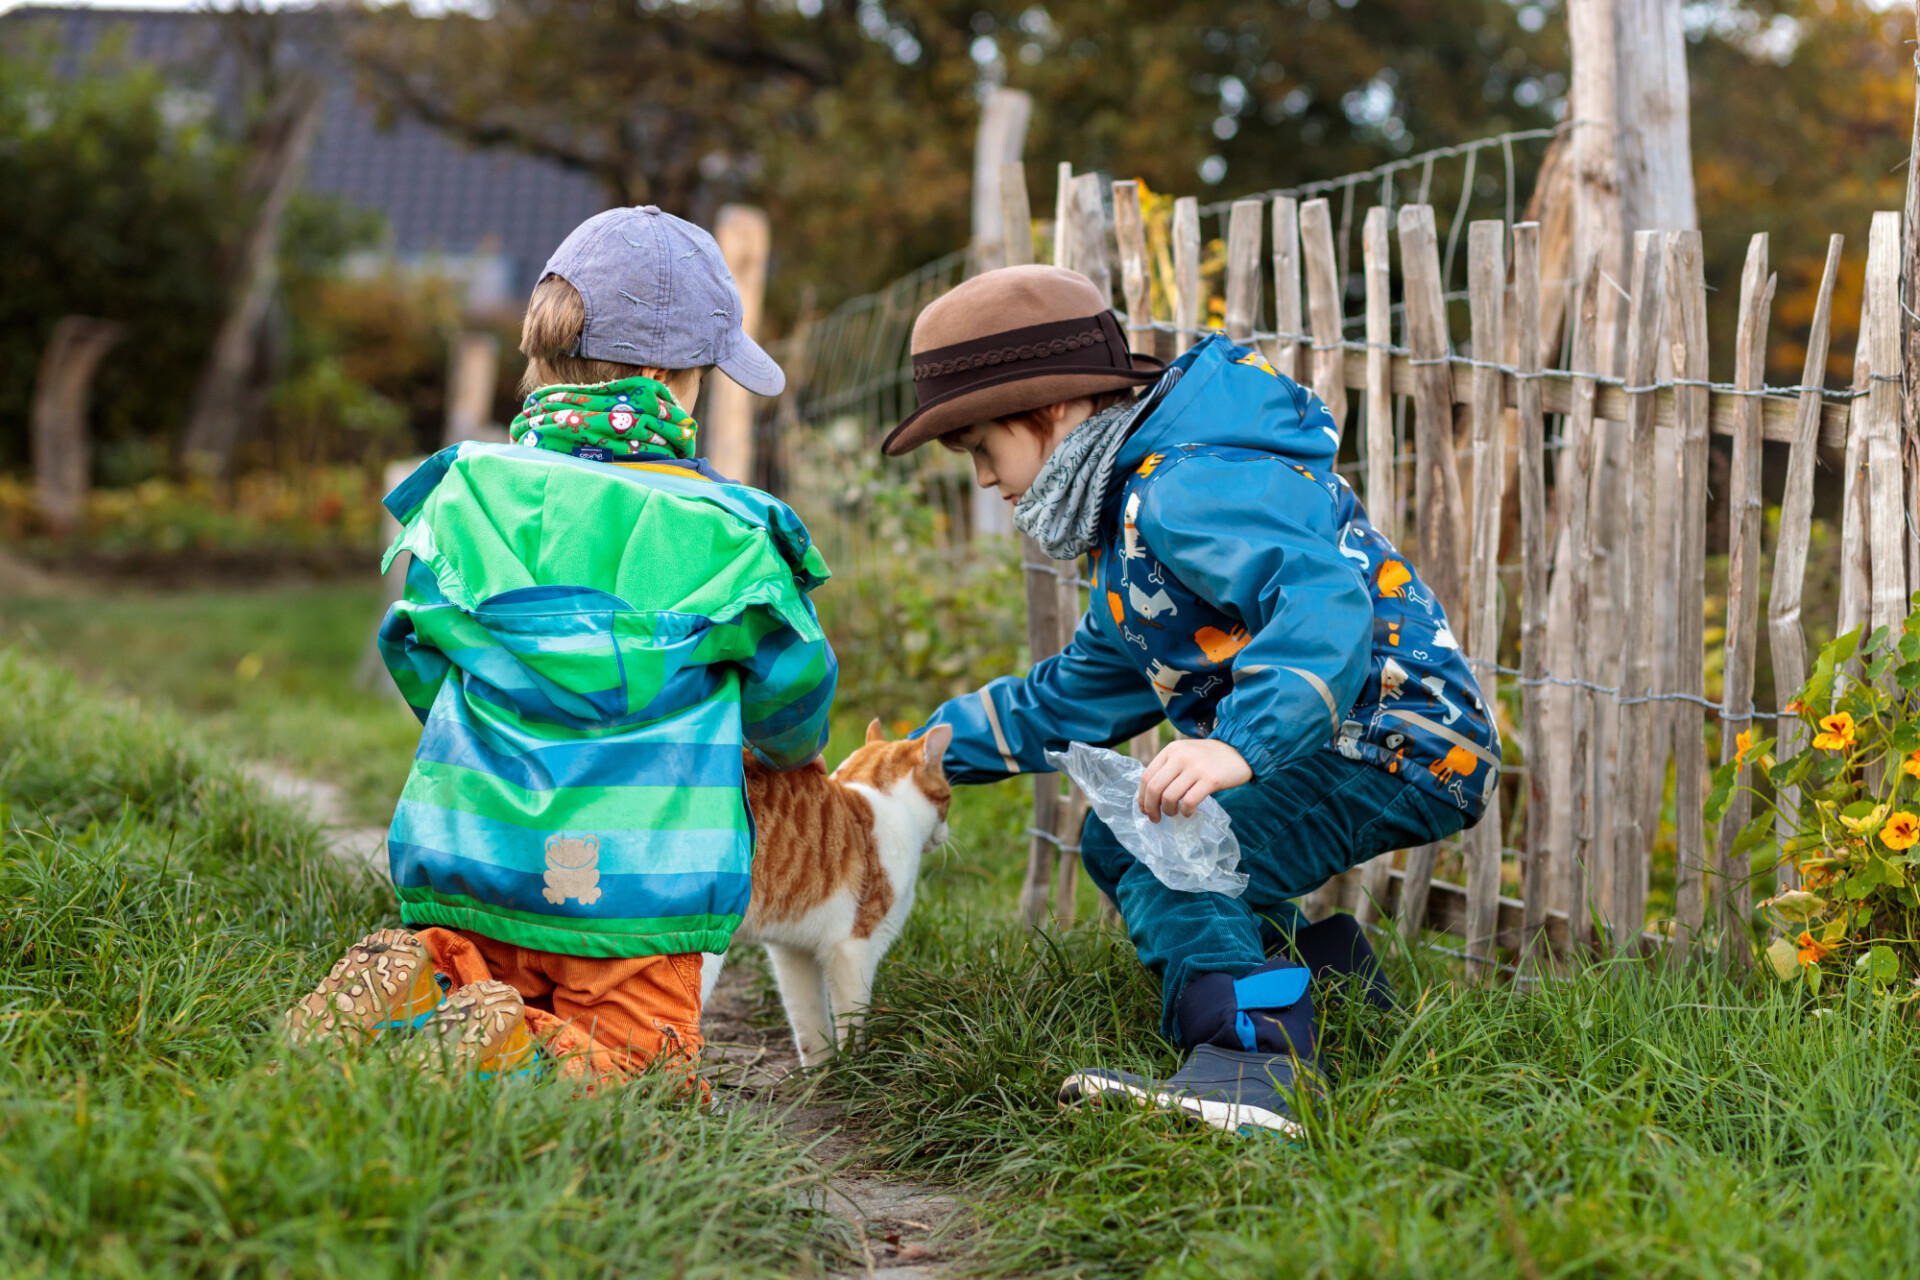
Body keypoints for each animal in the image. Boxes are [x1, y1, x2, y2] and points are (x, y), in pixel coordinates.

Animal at [698, 725, 952, 1066]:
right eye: (947, 797)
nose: (946, 834)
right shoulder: (854, 946)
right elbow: (852, 1018)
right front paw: (854, 1067)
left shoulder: (792, 951)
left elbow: (809, 1022)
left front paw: (822, 1072)